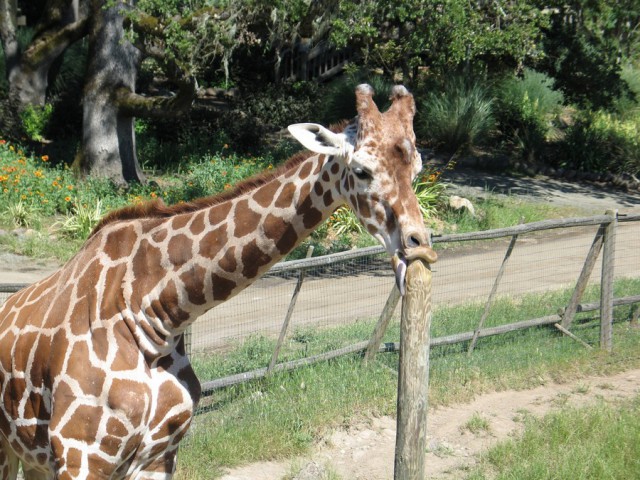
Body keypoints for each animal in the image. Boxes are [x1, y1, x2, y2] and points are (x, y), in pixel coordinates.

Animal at [0, 84, 436, 478]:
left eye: (416, 170)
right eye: (361, 171)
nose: (419, 244)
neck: (154, 316)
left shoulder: (159, 456)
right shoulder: (82, 455)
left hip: (31, 454)